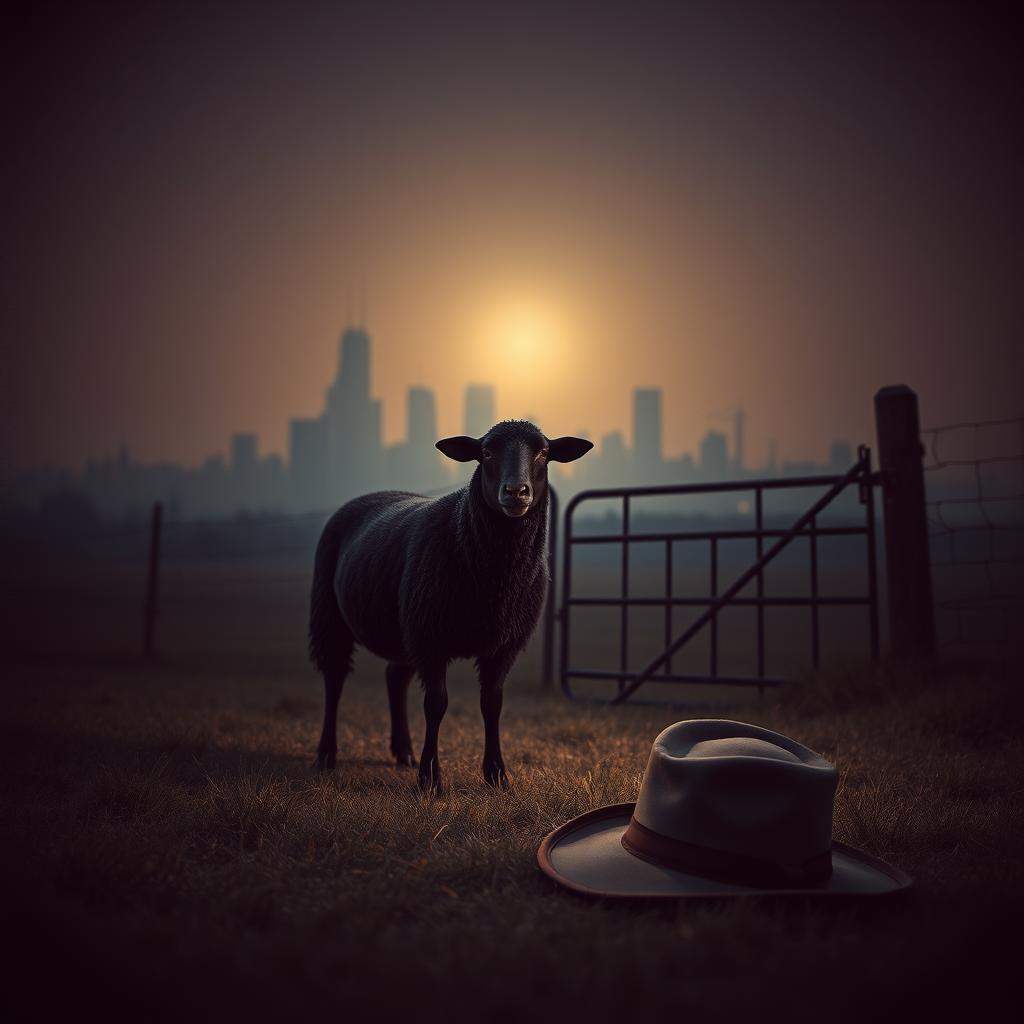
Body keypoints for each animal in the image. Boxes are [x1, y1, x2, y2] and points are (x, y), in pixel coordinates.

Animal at [309, 419, 592, 789]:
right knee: (334, 679)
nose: (516, 492)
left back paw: (403, 752)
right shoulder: (431, 639)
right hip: (330, 613)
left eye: (544, 452)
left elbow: (492, 703)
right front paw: (430, 777)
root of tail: (373, 494)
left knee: (394, 677)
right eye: (486, 452)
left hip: (406, 629)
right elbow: (436, 704)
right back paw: (326, 755)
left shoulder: (503, 645)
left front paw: (496, 774)